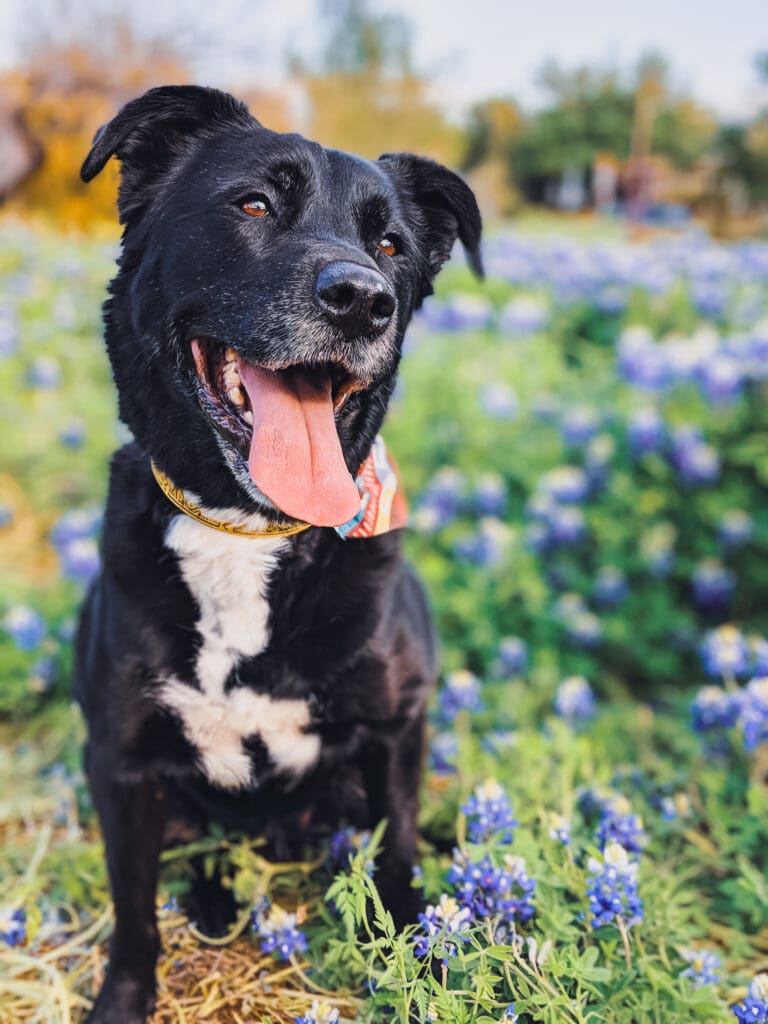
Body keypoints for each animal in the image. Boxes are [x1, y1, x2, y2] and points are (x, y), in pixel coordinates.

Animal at [76, 88, 481, 1024]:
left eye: (391, 245)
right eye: (255, 204)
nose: (362, 298)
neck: (244, 532)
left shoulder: (395, 729)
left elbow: (399, 862)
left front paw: (421, 967)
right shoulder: (118, 759)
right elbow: (132, 910)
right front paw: (123, 998)